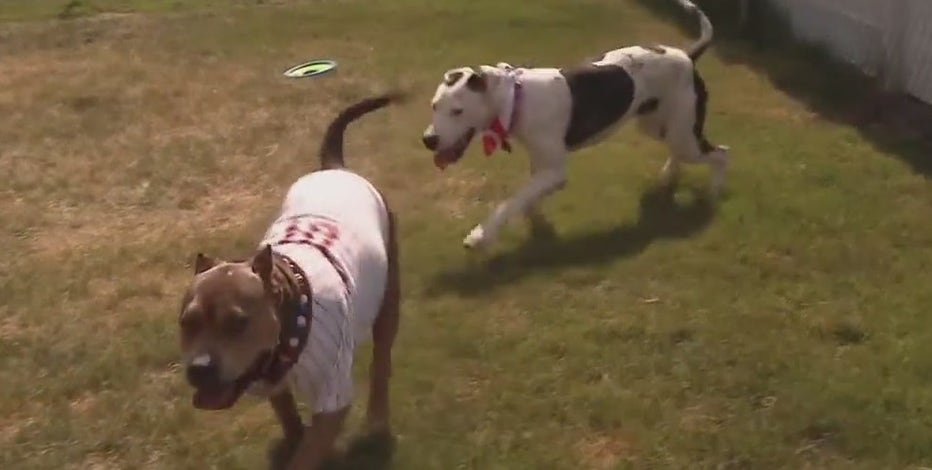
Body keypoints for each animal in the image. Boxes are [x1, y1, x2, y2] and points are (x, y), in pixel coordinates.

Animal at [178, 92, 404, 470]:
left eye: (238, 323)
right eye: (186, 323)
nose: (198, 369)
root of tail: (335, 169)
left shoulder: (332, 401)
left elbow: (306, 454)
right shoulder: (274, 386)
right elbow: (292, 425)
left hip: (389, 300)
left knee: (382, 361)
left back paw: (376, 419)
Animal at [420, 0, 728, 250]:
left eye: (458, 111)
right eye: (434, 106)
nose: (428, 140)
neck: (517, 98)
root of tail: (688, 55)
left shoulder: (554, 171)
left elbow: (513, 200)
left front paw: (481, 235)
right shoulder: (541, 164)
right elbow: (529, 197)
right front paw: (536, 223)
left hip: (683, 135)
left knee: (721, 153)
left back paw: (714, 193)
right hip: (659, 125)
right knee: (679, 149)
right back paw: (669, 176)